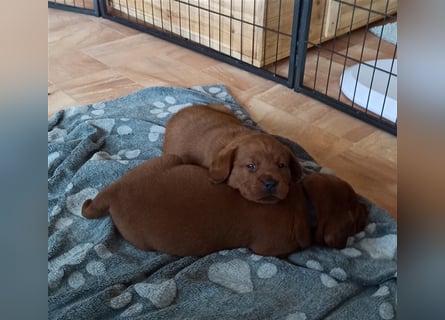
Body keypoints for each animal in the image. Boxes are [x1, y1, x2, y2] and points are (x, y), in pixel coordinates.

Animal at [81, 154, 366, 256]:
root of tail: (113, 190)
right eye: (355, 214)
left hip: (170, 159)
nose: (367, 209)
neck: (306, 202)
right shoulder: (269, 250)